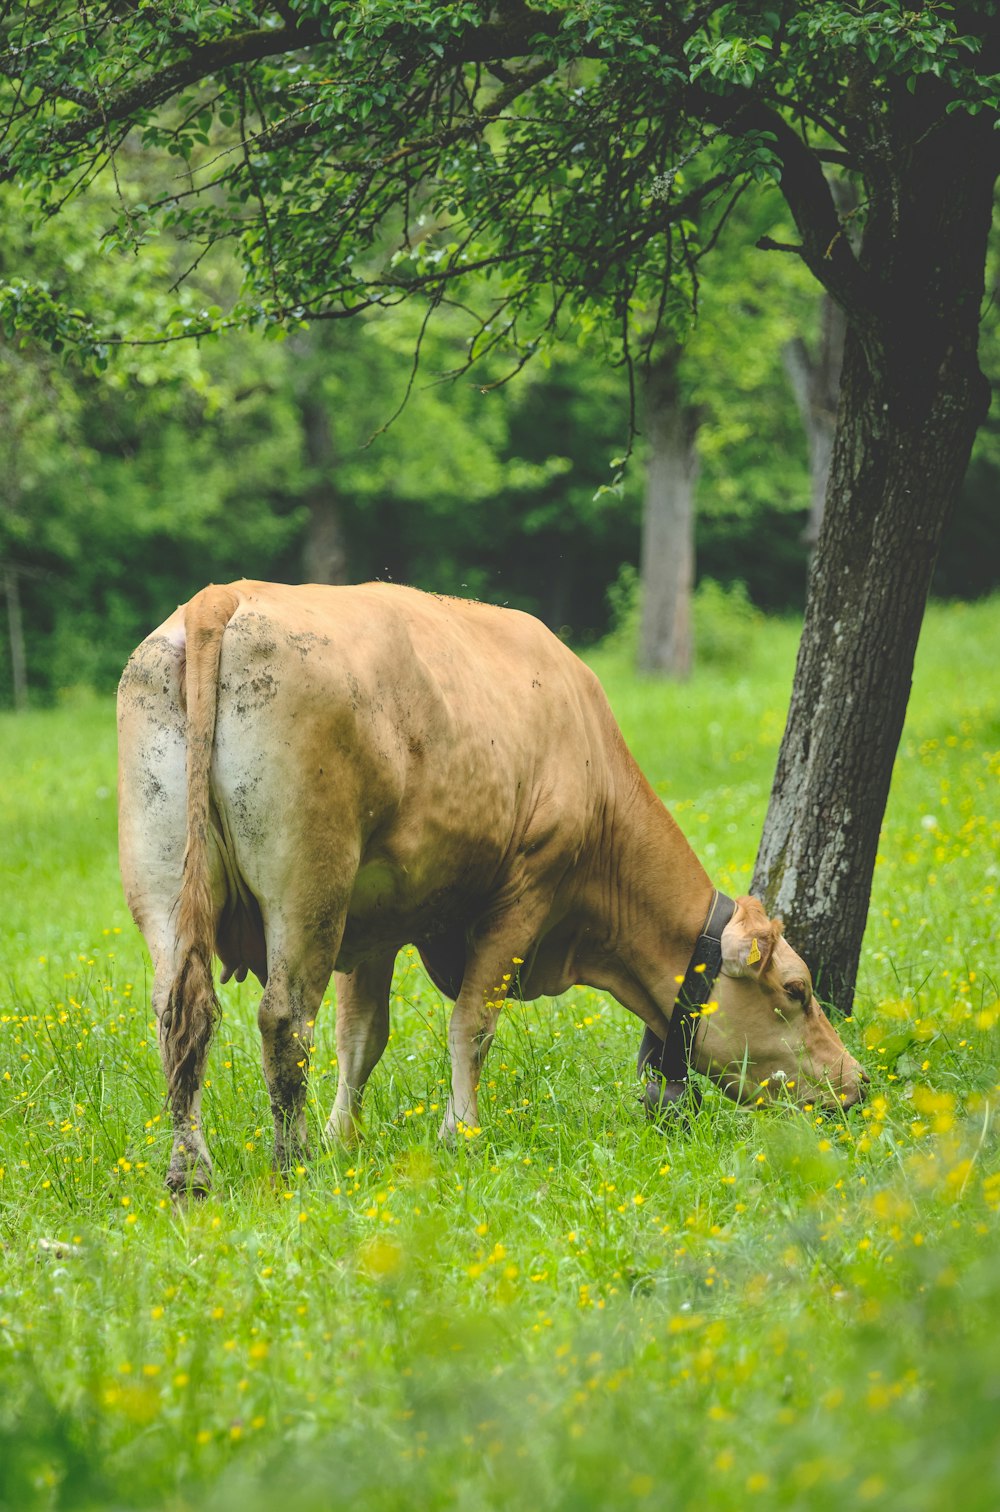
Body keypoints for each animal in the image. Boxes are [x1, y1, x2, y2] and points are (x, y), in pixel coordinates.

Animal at [117, 580, 865, 1191]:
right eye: (797, 990)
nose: (855, 1081)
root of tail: (223, 597)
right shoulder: (526, 891)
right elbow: (472, 1022)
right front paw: (458, 1135)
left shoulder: (375, 924)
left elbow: (361, 1037)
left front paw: (343, 1140)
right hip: (310, 888)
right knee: (284, 1020)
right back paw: (290, 1163)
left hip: (165, 878)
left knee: (181, 1016)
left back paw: (192, 1172)